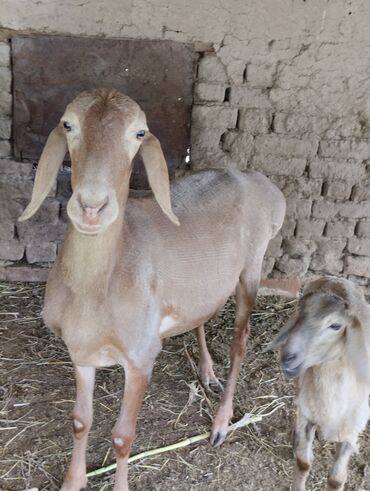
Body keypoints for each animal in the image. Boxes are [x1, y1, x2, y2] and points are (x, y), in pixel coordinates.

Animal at [18, 89, 288, 491]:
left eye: (139, 133)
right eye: (68, 124)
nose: (92, 207)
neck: (95, 290)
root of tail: (260, 181)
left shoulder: (140, 357)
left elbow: (122, 437)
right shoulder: (80, 352)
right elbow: (80, 421)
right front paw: (72, 481)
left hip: (252, 267)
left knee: (240, 341)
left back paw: (221, 422)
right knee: (202, 315)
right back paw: (207, 373)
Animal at [268, 278, 370, 490]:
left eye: (336, 325)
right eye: (300, 312)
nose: (287, 357)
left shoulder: (351, 432)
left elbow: (336, 479)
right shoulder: (308, 416)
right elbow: (303, 462)